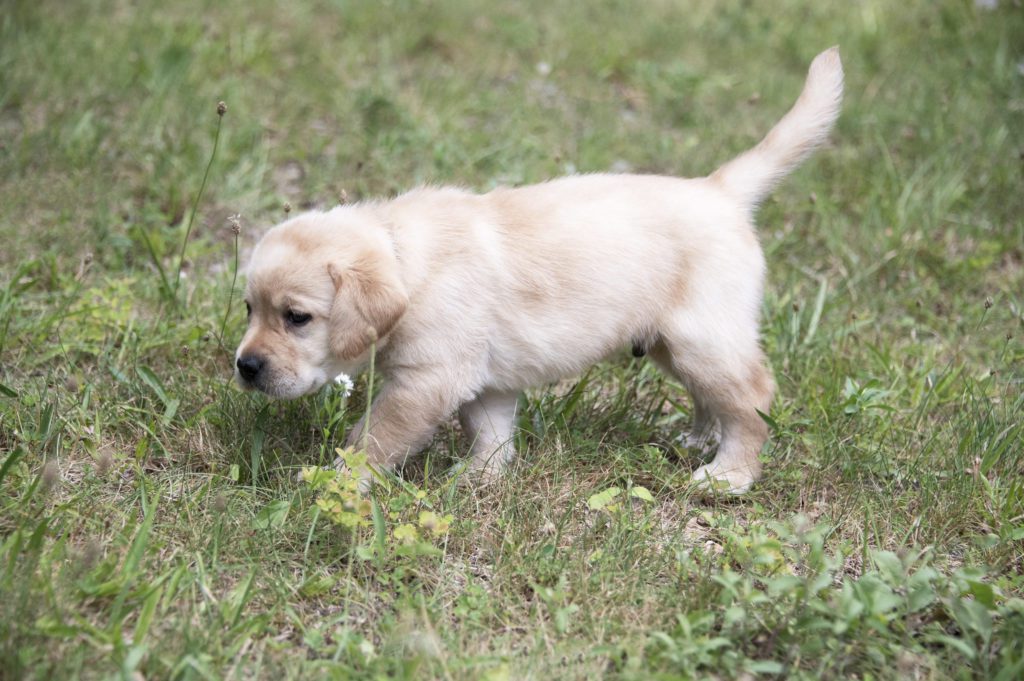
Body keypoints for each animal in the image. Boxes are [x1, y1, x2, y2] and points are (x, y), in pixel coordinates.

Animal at [235, 49, 843, 493]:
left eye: (296, 318)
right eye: (249, 309)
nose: (245, 366)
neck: (407, 257)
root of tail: (719, 190)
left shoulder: (425, 381)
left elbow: (372, 439)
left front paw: (334, 482)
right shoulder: (483, 381)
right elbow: (491, 432)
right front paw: (480, 478)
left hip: (703, 337)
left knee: (753, 399)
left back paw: (729, 474)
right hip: (674, 344)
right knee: (715, 397)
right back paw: (699, 441)